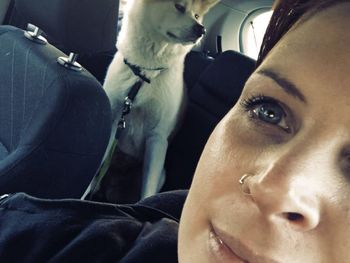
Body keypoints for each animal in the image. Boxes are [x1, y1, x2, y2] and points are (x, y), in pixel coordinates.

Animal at [93, 0, 219, 202]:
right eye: (179, 6)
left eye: (197, 15)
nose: (202, 29)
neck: (145, 72)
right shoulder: (113, 122)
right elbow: (93, 172)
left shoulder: (157, 138)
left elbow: (148, 191)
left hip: (162, 173)